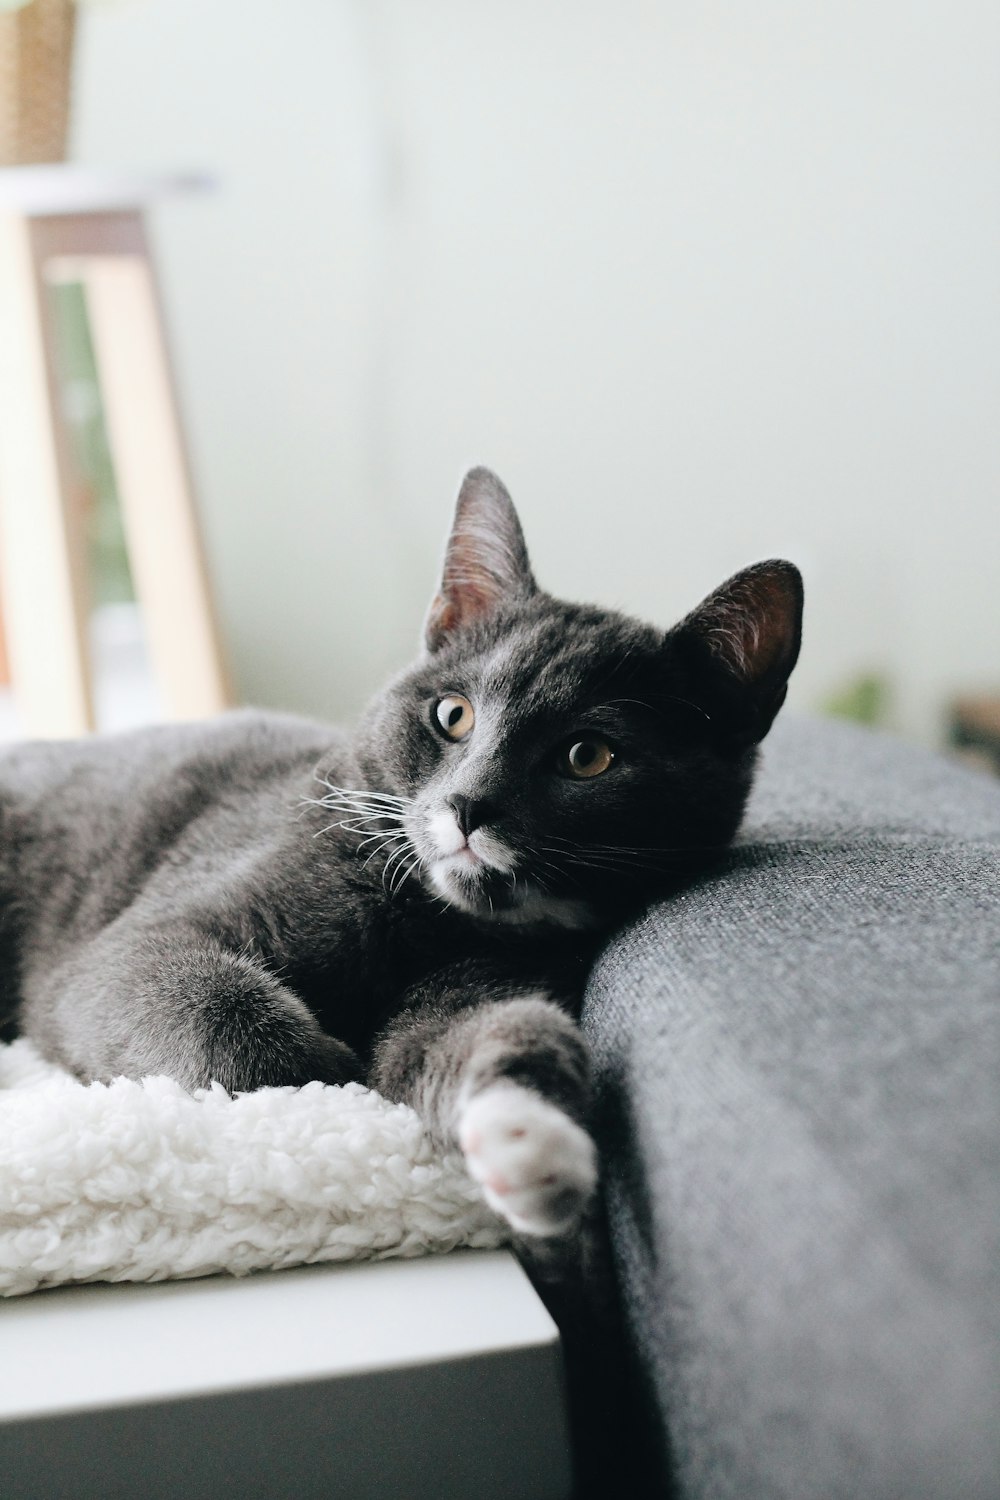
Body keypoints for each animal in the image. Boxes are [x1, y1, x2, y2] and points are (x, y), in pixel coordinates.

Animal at [0, 471, 803, 1242]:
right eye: (454, 715)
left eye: (589, 756)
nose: (470, 806)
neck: (432, 920)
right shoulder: (145, 935)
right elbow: (182, 989)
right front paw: (317, 1079)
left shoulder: (492, 976)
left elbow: (476, 1036)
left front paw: (531, 1142)